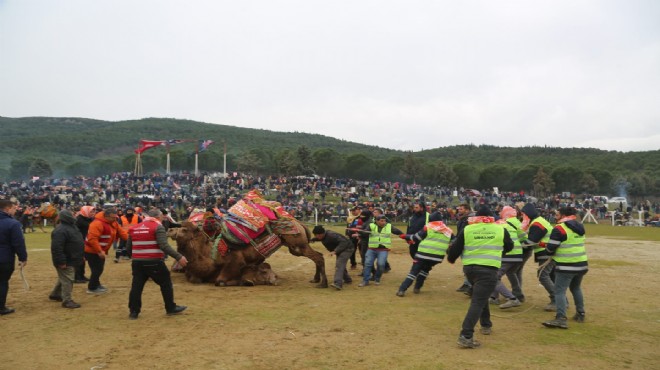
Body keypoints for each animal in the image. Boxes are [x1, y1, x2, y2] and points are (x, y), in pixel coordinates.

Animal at [168, 221, 328, 288]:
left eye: (184, 230)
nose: (170, 230)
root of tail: (300, 224)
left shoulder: (235, 261)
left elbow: (219, 281)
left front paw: (242, 282)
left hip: (297, 244)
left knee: (319, 257)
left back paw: (323, 283)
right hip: (295, 247)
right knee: (318, 255)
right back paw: (316, 279)